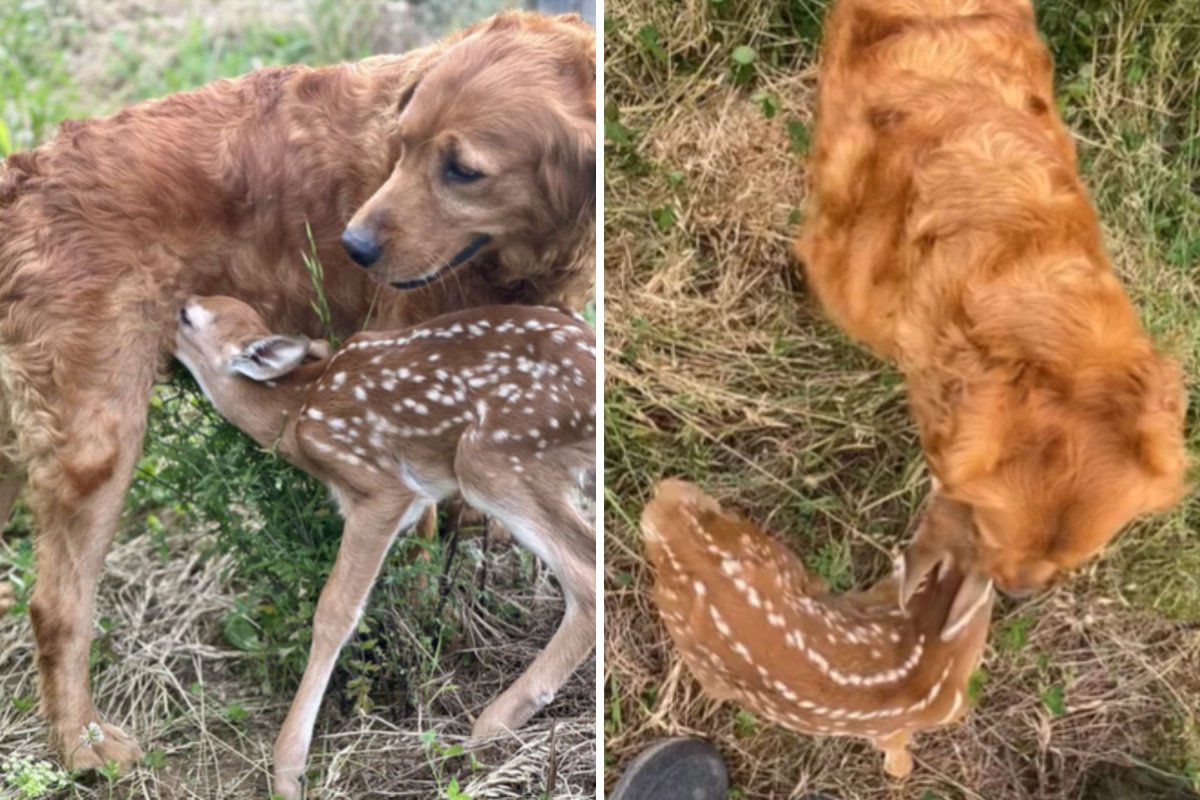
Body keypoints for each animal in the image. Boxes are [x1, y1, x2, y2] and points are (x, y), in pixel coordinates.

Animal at [0, 12, 595, 772]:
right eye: (399, 144)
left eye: (463, 170)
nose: (352, 247)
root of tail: (21, 179)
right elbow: (413, 555)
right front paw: (420, 650)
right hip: (98, 440)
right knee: (58, 608)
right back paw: (83, 746)